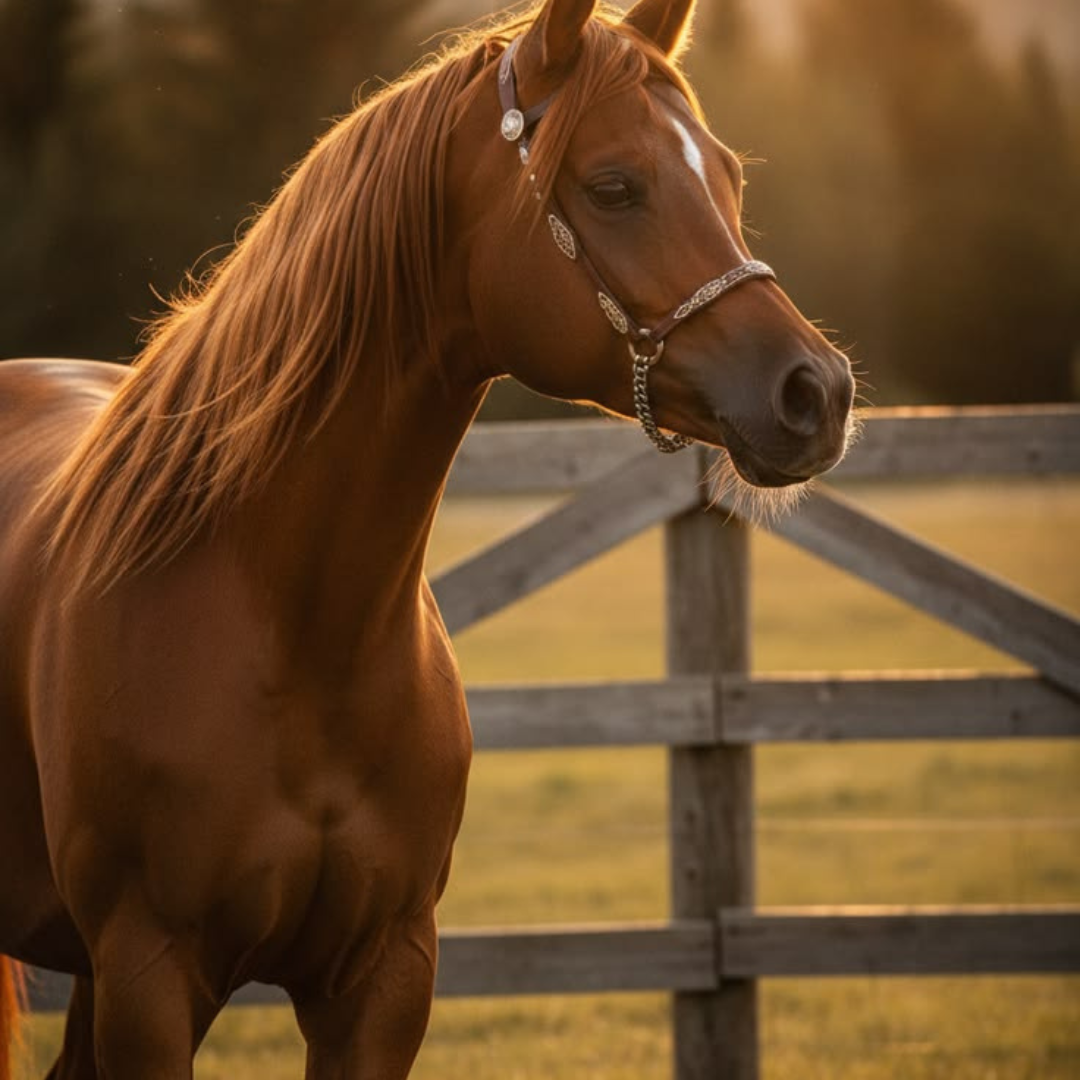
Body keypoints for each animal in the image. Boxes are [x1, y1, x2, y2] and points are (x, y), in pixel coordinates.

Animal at [0, 0, 854, 1075]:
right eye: (614, 186)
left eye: (731, 178)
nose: (817, 391)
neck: (292, 628)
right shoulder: (149, 978)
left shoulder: (384, 976)